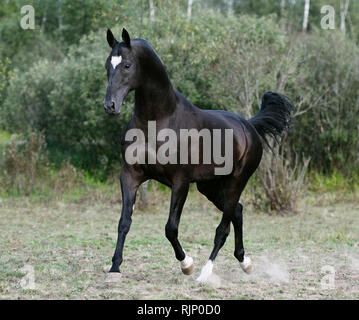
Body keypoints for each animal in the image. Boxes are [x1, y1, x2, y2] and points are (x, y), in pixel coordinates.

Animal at [102, 28, 294, 282]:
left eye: (127, 65)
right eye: (107, 65)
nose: (110, 105)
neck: (159, 121)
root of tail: (249, 126)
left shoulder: (180, 182)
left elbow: (171, 228)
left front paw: (187, 265)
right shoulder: (130, 175)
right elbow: (124, 222)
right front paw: (115, 268)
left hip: (237, 181)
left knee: (223, 227)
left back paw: (205, 273)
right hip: (209, 186)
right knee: (238, 211)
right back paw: (245, 263)